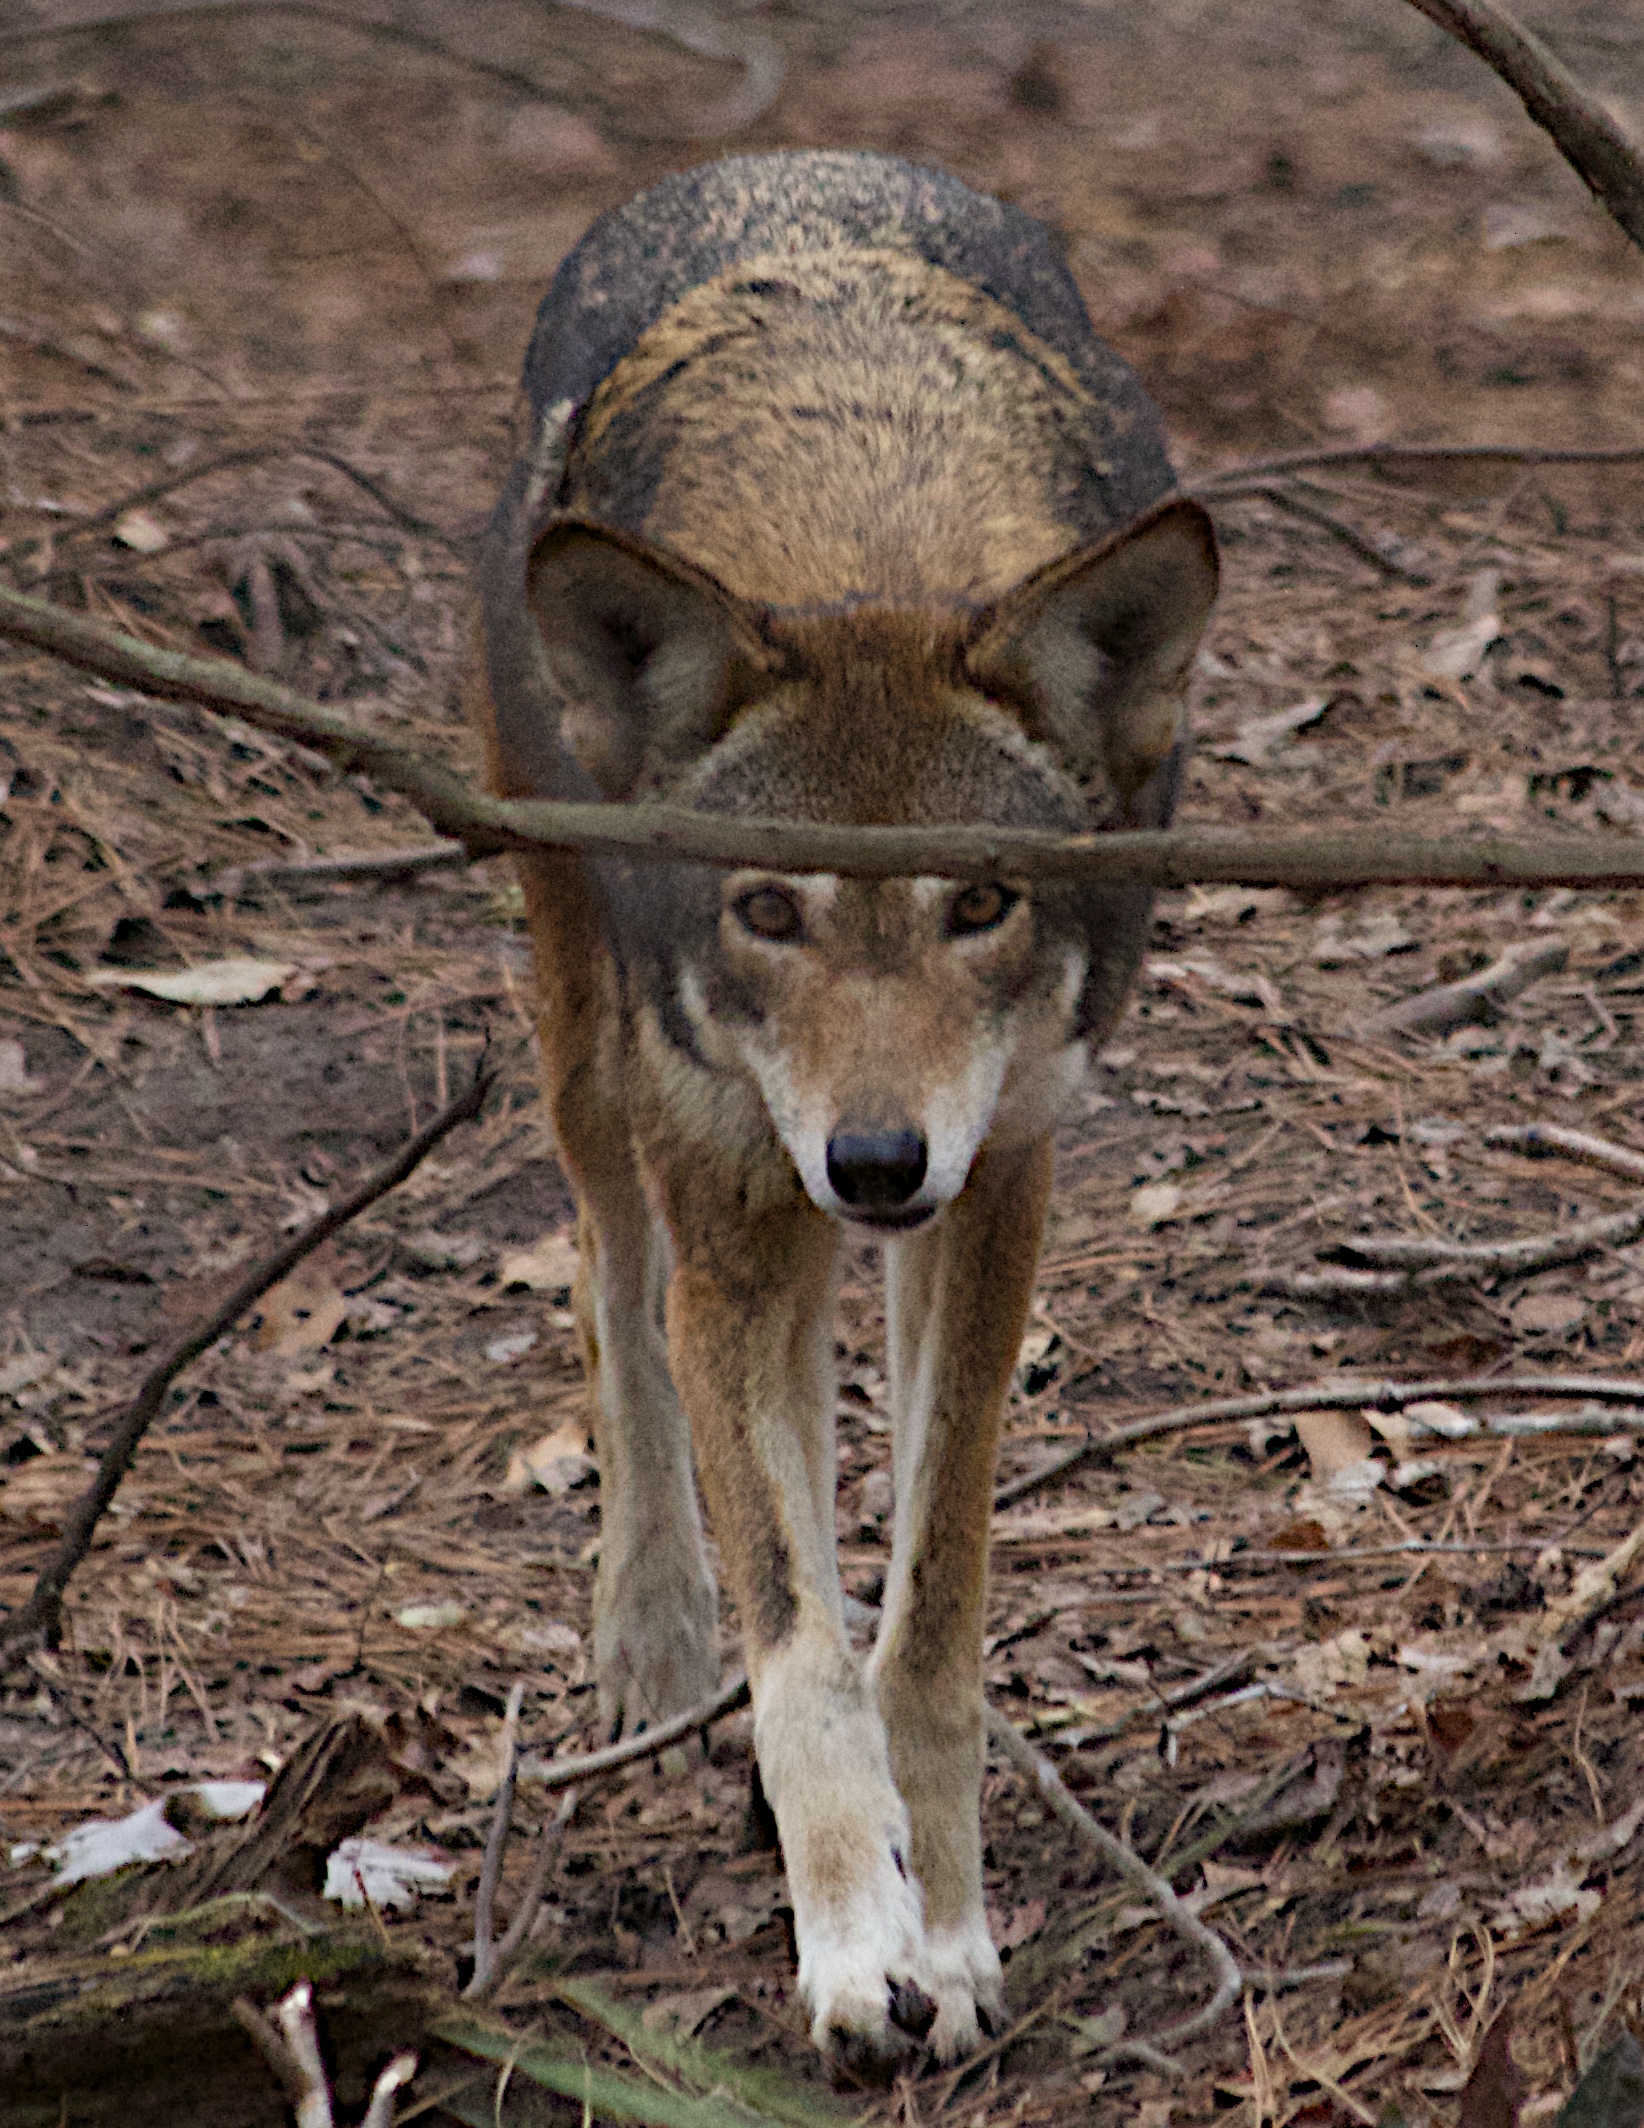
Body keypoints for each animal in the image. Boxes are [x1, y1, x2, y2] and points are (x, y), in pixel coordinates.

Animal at [465, 154, 1216, 2076]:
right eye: (768, 908)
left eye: (979, 901)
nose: (873, 1158)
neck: (861, 530)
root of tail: (772, 161)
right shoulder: (739, 1217)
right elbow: (802, 1647)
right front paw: (857, 1951)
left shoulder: (1000, 1182)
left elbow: (923, 1617)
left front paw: (937, 1923)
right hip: (597, 1048)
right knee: (614, 1290)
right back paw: (655, 1633)